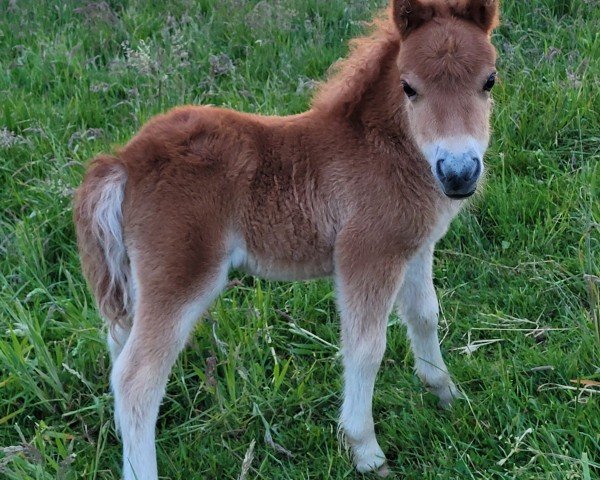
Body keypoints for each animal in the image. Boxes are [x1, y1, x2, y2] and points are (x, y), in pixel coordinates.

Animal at [75, 0, 502, 476]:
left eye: (489, 80)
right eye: (409, 87)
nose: (459, 173)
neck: (382, 148)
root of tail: (123, 162)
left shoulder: (415, 246)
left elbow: (425, 314)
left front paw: (445, 393)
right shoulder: (367, 254)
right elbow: (365, 347)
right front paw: (365, 450)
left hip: (136, 279)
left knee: (118, 348)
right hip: (180, 276)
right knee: (136, 377)